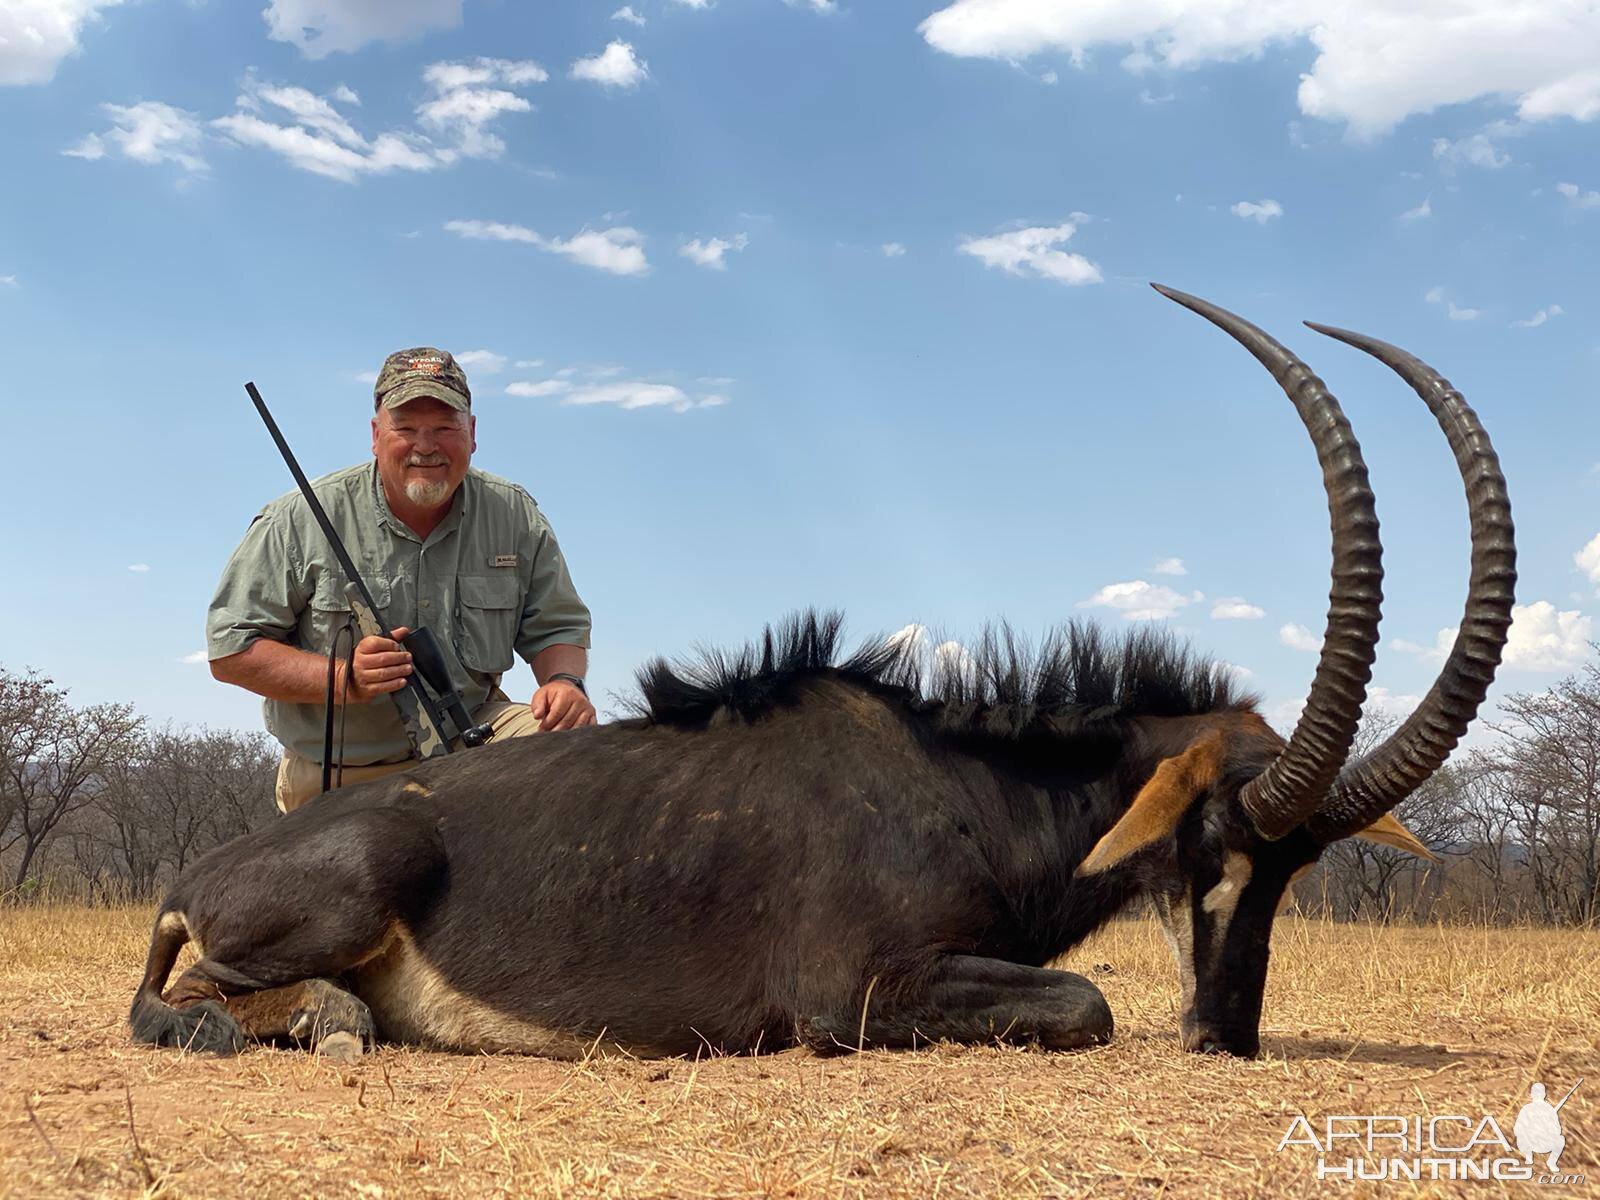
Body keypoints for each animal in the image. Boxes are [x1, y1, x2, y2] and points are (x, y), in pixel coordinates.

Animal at [128, 286, 1510, 1056]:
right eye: (1211, 844)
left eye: (1296, 870)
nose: (1224, 1037)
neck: (967, 785)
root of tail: (195, 874)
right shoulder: (855, 993)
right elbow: (1087, 1003)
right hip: (354, 882)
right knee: (186, 1003)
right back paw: (331, 1024)